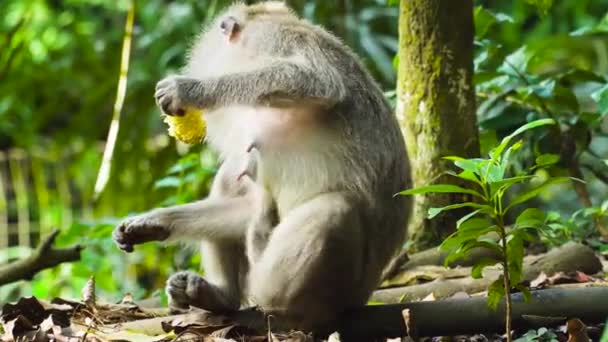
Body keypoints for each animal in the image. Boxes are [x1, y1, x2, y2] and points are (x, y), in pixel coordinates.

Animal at [111, 0, 410, 332]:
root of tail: (364, 294)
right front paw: (154, 222)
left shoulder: (271, 38)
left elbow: (319, 81)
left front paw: (192, 89)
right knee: (232, 178)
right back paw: (221, 296)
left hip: (344, 289)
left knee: (333, 210)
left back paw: (271, 297)